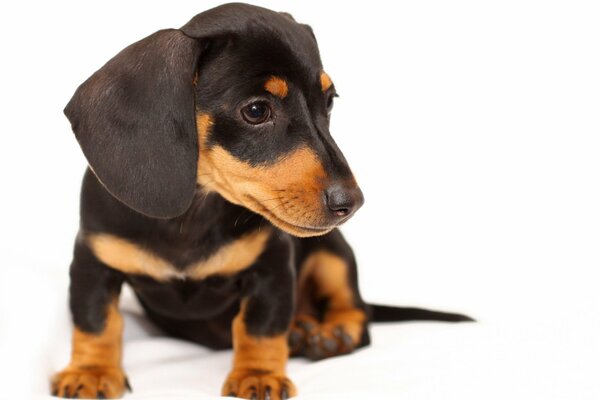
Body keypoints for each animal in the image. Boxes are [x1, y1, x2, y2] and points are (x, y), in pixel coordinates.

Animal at [51, 3, 472, 400]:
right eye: (256, 110)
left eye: (329, 101)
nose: (352, 202)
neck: (194, 213)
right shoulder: (92, 263)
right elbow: (96, 322)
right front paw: (90, 372)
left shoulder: (271, 267)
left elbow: (260, 327)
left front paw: (258, 375)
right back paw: (303, 327)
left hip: (333, 254)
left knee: (357, 311)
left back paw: (332, 333)